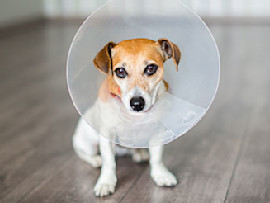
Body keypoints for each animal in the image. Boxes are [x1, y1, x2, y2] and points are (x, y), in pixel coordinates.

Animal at [73, 38, 180, 197]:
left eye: (151, 68)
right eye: (120, 71)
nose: (137, 103)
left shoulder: (157, 132)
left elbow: (157, 157)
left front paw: (161, 175)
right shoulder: (107, 135)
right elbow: (109, 162)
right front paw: (106, 183)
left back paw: (139, 153)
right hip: (87, 141)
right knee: (84, 153)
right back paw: (95, 159)